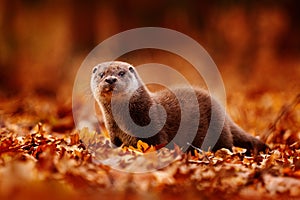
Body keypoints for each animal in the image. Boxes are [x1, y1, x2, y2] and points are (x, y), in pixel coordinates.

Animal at [90, 61, 268, 155]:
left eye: (121, 73)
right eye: (101, 74)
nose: (110, 79)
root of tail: (223, 112)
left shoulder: (155, 130)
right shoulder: (113, 134)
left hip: (218, 129)